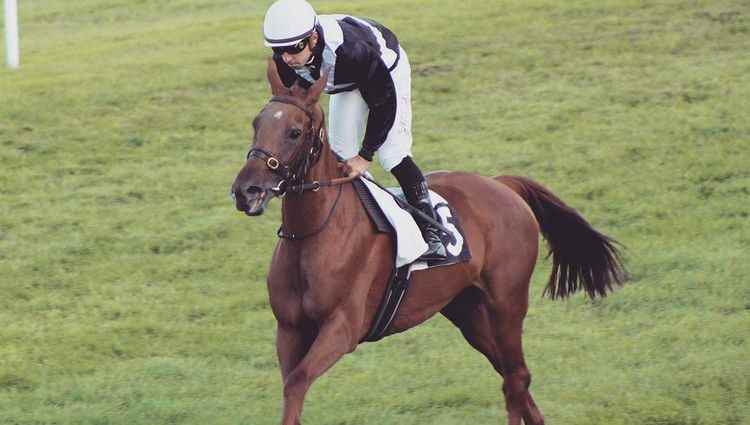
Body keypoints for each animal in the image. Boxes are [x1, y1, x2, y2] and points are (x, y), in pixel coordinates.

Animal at [231, 60, 628, 424]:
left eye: (295, 132)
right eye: (256, 124)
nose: (245, 191)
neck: (315, 234)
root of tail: (502, 185)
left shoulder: (342, 328)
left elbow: (298, 382)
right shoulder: (289, 330)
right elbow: (289, 387)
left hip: (507, 302)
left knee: (515, 378)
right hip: (467, 310)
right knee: (514, 375)